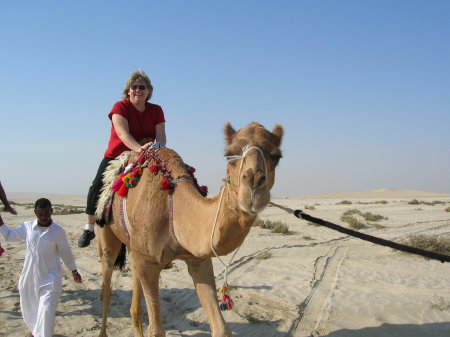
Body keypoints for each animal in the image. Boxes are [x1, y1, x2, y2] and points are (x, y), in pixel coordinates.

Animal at [96, 121, 284, 336]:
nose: (253, 184)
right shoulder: (148, 260)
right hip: (107, 234)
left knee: (134, 302)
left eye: (277, 156)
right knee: (107, 285)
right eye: (229, 154)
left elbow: (221, 328)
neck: (172, 205)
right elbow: (156, 330)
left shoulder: (198, 259)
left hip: (134, 249)